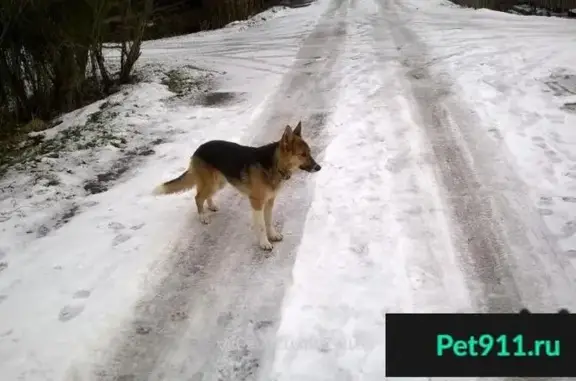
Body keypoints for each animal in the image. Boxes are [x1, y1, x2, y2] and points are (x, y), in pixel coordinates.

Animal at [153, 121, 322, 249]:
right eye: (302, 155)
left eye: (309, 152)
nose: (319, 168)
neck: (275, 164)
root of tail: (199, 149)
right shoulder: (256, 202)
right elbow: (261, 225)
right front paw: (264, 243)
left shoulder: (269, 201)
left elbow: (268, 222)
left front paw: (272, 235)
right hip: (212, 183)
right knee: (198, 197)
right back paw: (203, 217)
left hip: (218, 183)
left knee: (205, 196)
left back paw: (211, 206)